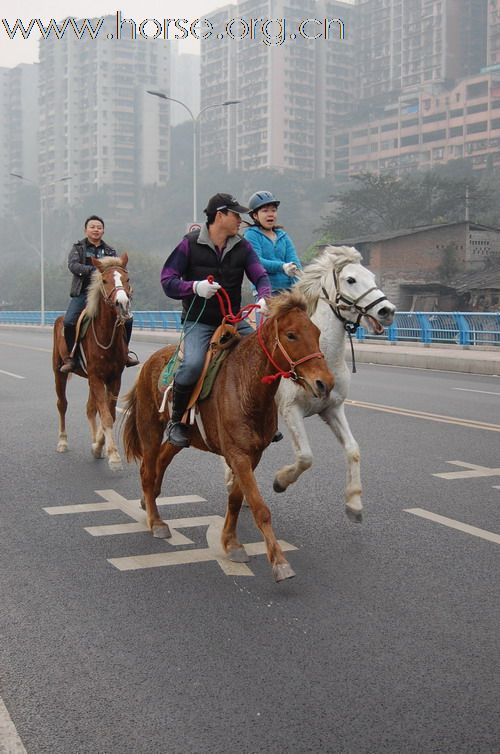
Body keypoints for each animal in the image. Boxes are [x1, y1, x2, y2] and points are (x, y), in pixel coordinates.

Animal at [52, 253, 133, 468]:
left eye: (127, 279)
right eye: (104, 280)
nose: (122, 304)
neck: (106, 336)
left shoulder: (113, 378)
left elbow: (109, 413)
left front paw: (99, 446)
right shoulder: (96, 377)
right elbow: (105, 415)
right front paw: (114, 456)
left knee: (90, 408)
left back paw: (95, 443)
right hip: (58, 372)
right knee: (62, 404)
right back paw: (62, 442)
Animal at [121, 290, 334, 580]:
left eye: (316, 332)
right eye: (291, 335)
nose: (325, 383)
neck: (246, 386)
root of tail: (149, 363)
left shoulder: (252, 455)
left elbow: (235, 499)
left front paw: (231, 543)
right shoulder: (238, 454)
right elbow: (260, 508)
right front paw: (279, 562)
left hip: (184, 437)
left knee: (162, 460)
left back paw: (149, 498)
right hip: (149, 426)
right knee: (147, 470)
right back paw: (156, 521)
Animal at [272, 247, 396, 524]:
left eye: (372, 276)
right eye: (350, 279)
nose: (387, 311)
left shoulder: (333, 408)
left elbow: (353, 449)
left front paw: (354, 502)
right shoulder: (290, 409)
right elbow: (305, 457)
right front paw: (280, 481)